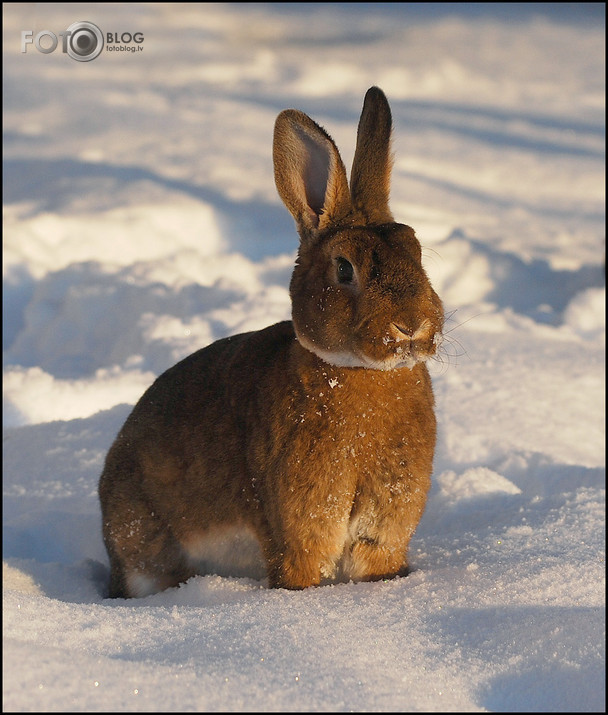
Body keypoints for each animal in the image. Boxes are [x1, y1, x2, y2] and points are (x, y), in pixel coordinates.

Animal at [98, 85, 442, 600]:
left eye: (416, 252)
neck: (356, 373)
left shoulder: (384, 529)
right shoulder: (299, 527)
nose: (412, 326)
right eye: (345, 268)